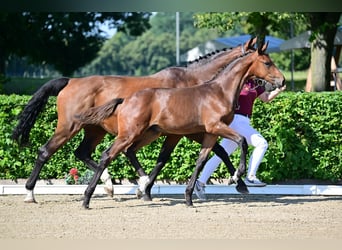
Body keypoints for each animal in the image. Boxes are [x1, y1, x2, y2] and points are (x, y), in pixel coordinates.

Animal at [11, 39, 256, 203]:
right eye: (260, 59)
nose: (267, 86)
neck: (195, 83)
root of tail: (70, 81)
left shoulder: (178, 131)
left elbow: (167, 158)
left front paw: (145, 189)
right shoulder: (185, 131)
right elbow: (214, 152)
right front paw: (239, 182)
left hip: (95, 130)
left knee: (83, 152)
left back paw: (109, 186)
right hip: (68, 127)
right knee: (45, 151)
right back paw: (30, 193)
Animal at [75, 41, 286, 208]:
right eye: (267, 63)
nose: (282, 81)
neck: (219, 91)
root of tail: (125, 99)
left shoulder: (209, 133)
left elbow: (202, 160)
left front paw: (189, 197)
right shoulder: (214, 127)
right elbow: (241, 141)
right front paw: (237, 177)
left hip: (147, 133)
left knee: (123, 152)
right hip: (129, 134)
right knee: (107, 155)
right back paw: (89, 198)